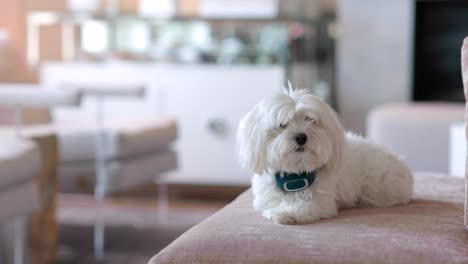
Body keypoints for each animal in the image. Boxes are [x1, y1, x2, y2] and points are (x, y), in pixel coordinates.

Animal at [238, 88, 414, 225]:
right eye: (283, 124)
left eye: (310, 120)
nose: (301, 136)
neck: (295, 176)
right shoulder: (266, 199)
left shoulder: (321, 202)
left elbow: (304, 206)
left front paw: (285, 213)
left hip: (382, 189)